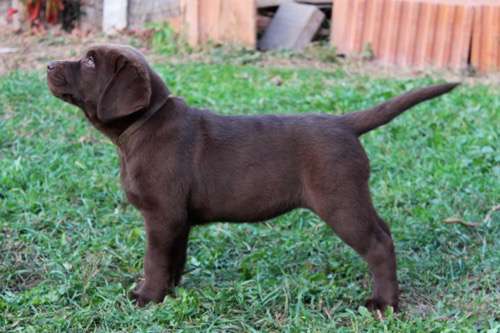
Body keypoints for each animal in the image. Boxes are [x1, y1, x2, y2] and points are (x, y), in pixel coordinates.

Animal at [46, 44, 458, 312]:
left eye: (89, 61)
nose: (48, 65)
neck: (142, 126)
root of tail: (343, 123)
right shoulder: (177, 219)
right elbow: (174, 256)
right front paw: (171, 289)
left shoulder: (161, 214)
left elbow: (154, 259)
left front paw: (147, 296)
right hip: (351, 197)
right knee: (384, 232)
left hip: (340, 201)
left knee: (378, 244)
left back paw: (384, 303)